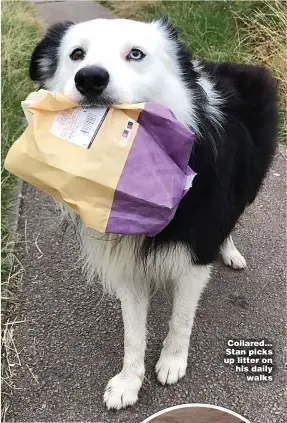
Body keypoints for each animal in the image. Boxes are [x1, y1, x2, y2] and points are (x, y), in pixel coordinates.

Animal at [28, 17, 276, 410]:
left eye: (136, 54)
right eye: (76, 54)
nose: (90, 79)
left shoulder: (196, 251)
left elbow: (181, 318)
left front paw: (172, 362)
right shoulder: (126, 260)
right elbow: (133, 332)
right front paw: (129, 382)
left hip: (248, 185)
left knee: (232, 219)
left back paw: (230, 252)